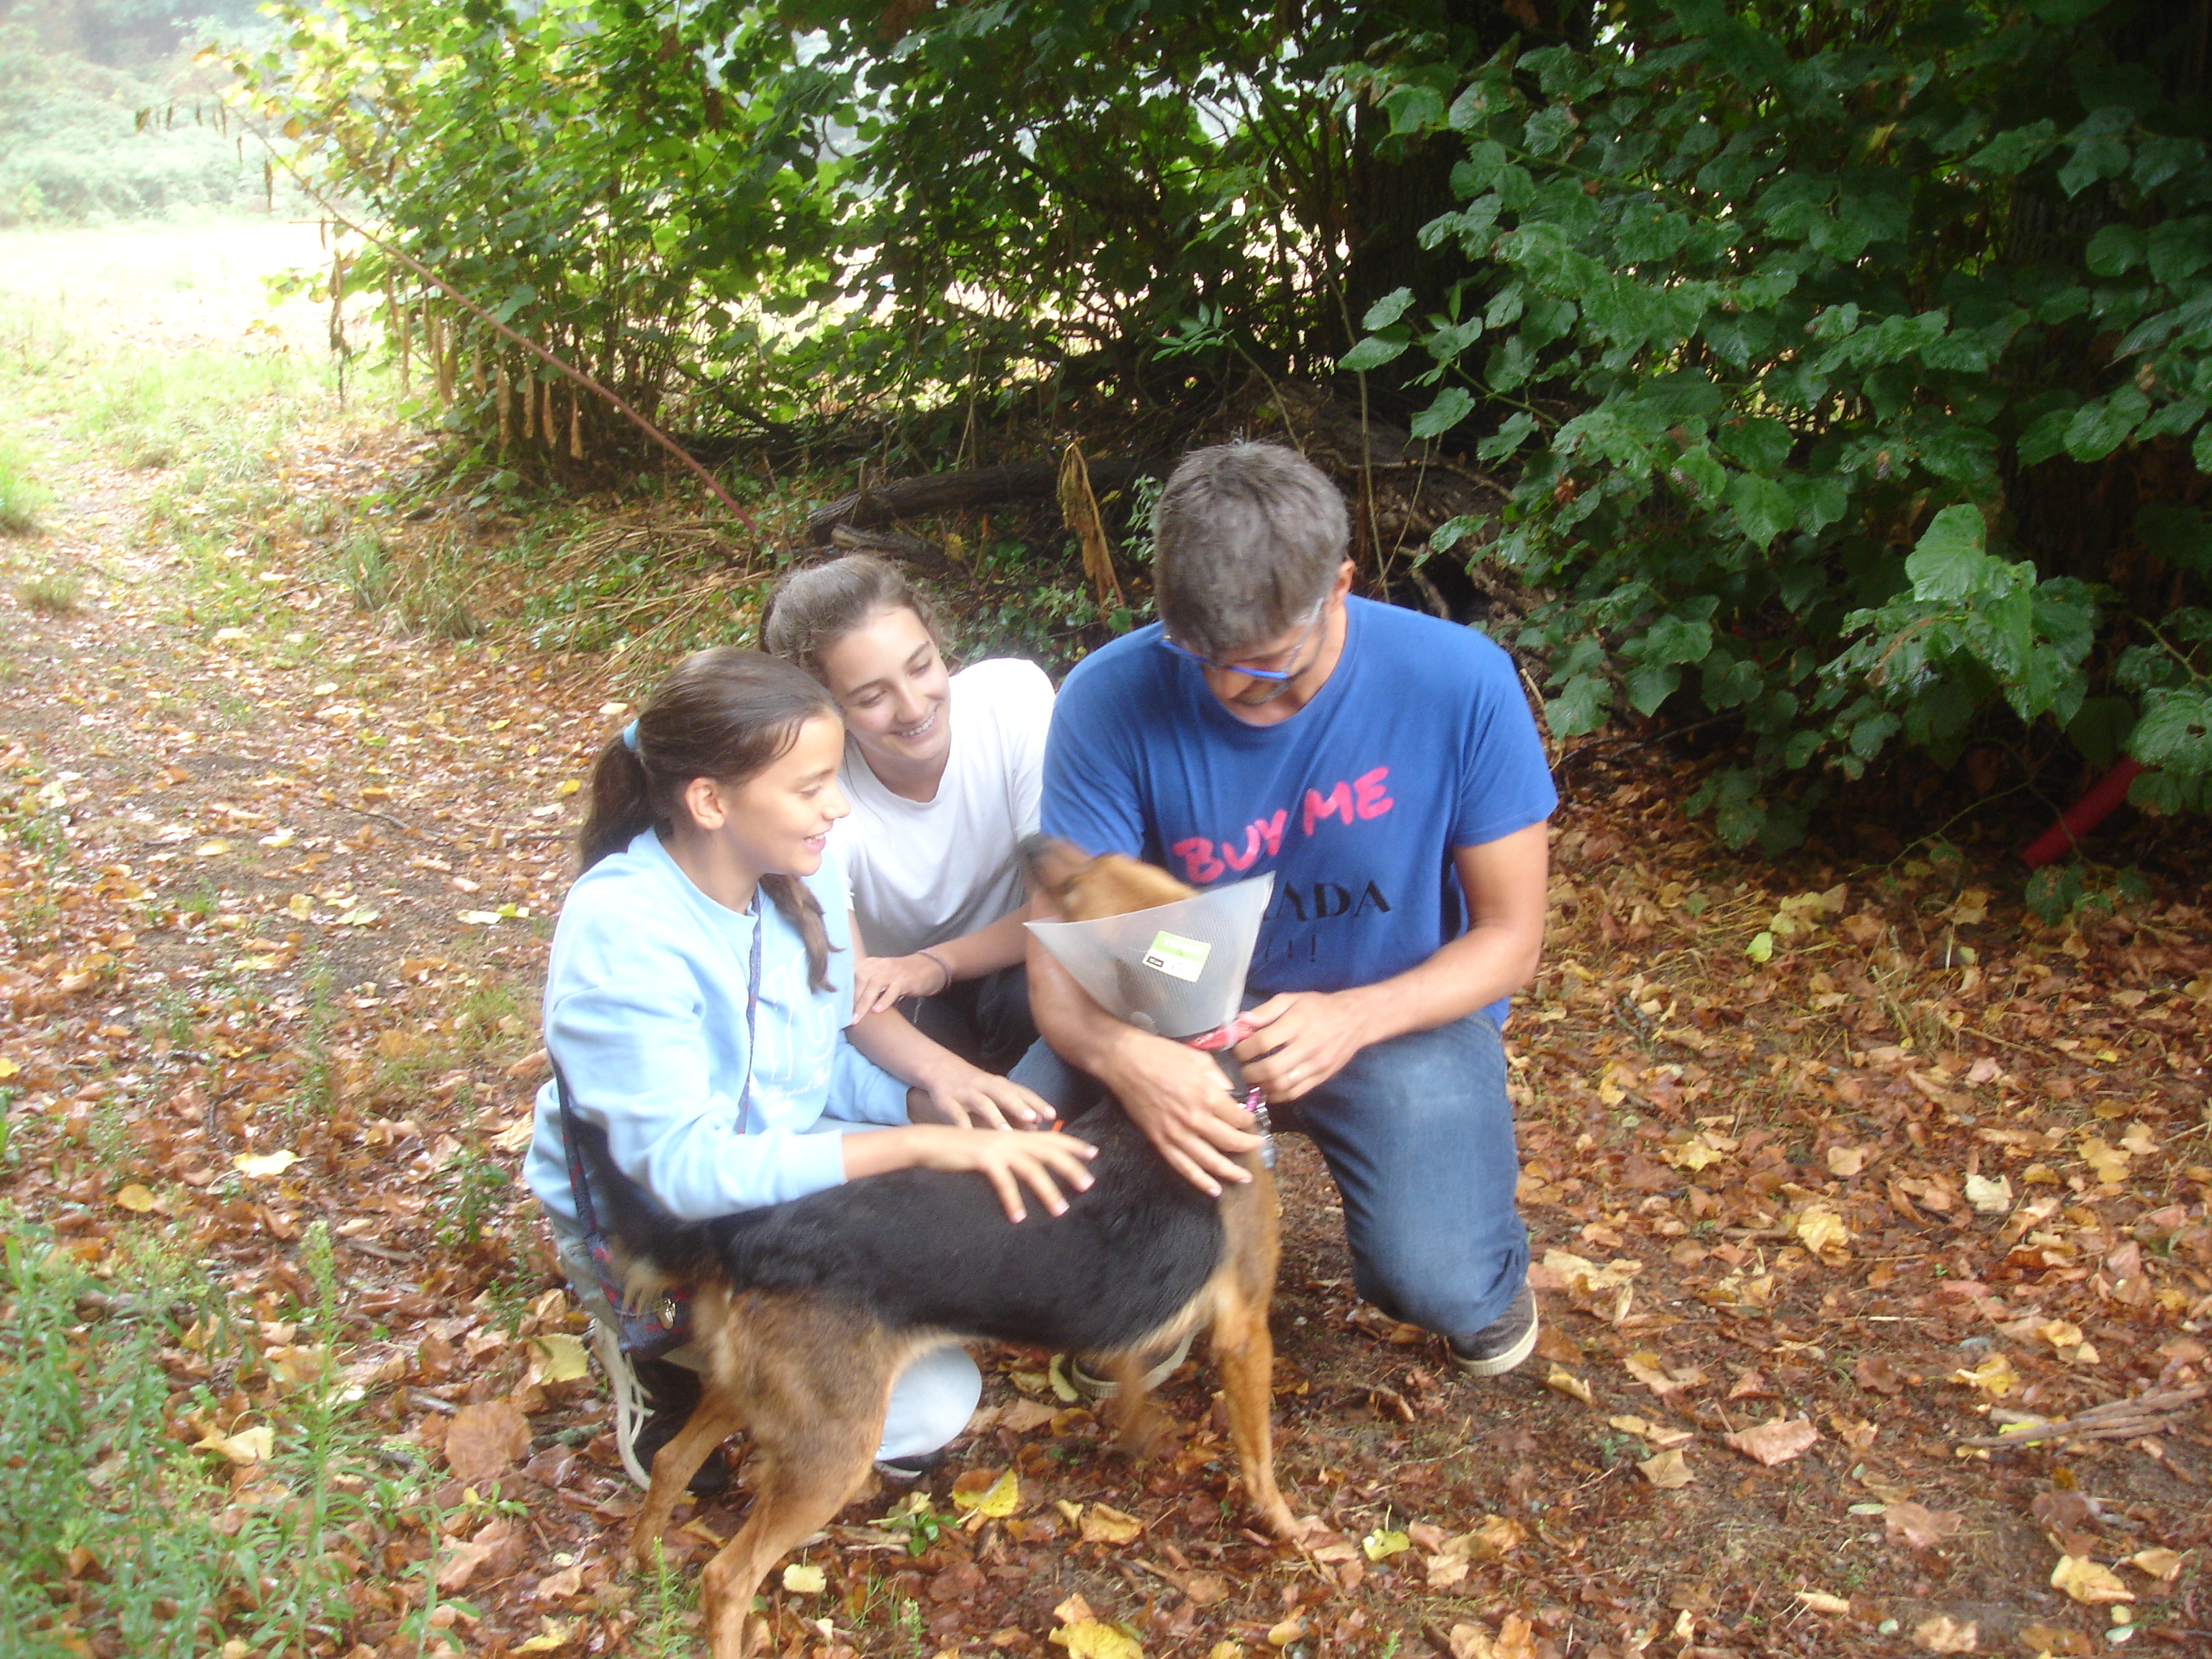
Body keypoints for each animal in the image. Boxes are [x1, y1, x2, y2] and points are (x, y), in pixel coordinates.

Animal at [583, 837, 1298, 1659]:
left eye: (1089, 872)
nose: (1031, 844)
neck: (1192, 1063)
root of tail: (749, 1230)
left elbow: (1130, 1388)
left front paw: (1139, 1436)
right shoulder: (1245, 1331)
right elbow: (1260, 1455)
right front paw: (1289, 1527)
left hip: (756, 1389)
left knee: (673, 1462)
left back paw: (647, 1559)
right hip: (832, 1445)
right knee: (728, 1578)